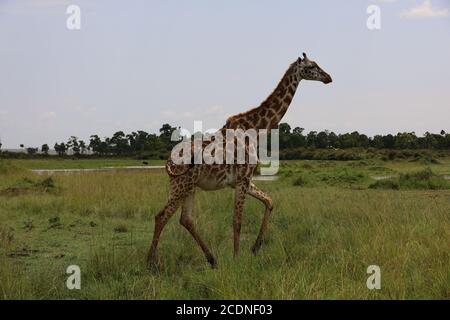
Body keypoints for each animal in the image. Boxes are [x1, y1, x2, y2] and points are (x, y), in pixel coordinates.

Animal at [148, 53, 330, 268]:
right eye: (312, 66)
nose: (328, 77)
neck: (256, 129)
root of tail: (168, 161)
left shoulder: (243, 180)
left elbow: (269, 201)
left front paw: (255, 248)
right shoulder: (243, 179)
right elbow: (237, 220)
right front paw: (237, 258)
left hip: (190, 186)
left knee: (185, 219)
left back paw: (212, 259)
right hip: (180, 184)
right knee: (161, 216)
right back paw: (152, 262)